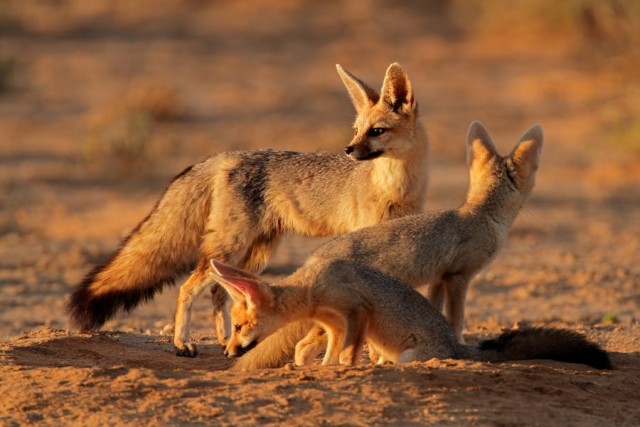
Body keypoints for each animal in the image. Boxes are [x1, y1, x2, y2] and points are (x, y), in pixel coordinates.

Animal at [66, 62, 430, 357]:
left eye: (376, 131)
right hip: (230, 247)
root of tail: (225, 156)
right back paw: (182, 344)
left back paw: (224, 340)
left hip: (255, 253)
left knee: (220, 291)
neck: (396, 187)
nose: (349, 150)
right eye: (356, 130)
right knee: (189, 288)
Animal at [209, 258, 611, 370]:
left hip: (408, 355)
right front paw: (321, 366)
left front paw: (343, 367)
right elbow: (325, 350)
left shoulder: (357, 310)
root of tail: (455, 345)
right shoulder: (334, 323)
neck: (312, 285)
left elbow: (347, 351)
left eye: (239, 327)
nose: (228, 351)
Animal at [231, 121, 545, 370]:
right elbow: (456, 321)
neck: (480, 214)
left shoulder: (439, 278)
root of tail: (317, 255)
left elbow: (433, 312)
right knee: (304, 346)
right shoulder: (459, 277)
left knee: (304, 346)